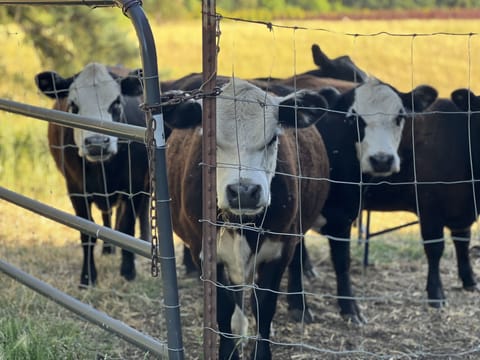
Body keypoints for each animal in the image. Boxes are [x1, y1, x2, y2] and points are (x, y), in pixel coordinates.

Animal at [34, 62, 148, 286]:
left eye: (117, 102)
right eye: (73, 105)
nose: (96, 143)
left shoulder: (135, 186)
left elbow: (127, 227)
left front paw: (128, 271)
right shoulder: (76, 189)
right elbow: (87, 232)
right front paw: (87, 276)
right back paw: (108, 249)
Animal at [164, 77, 330, 358]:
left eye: (272, 138)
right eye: (210, 143)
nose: (244, 191)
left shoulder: (280, 249)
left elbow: (264, 305)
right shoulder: (205, 253)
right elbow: (223, 306)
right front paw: (228, 350)